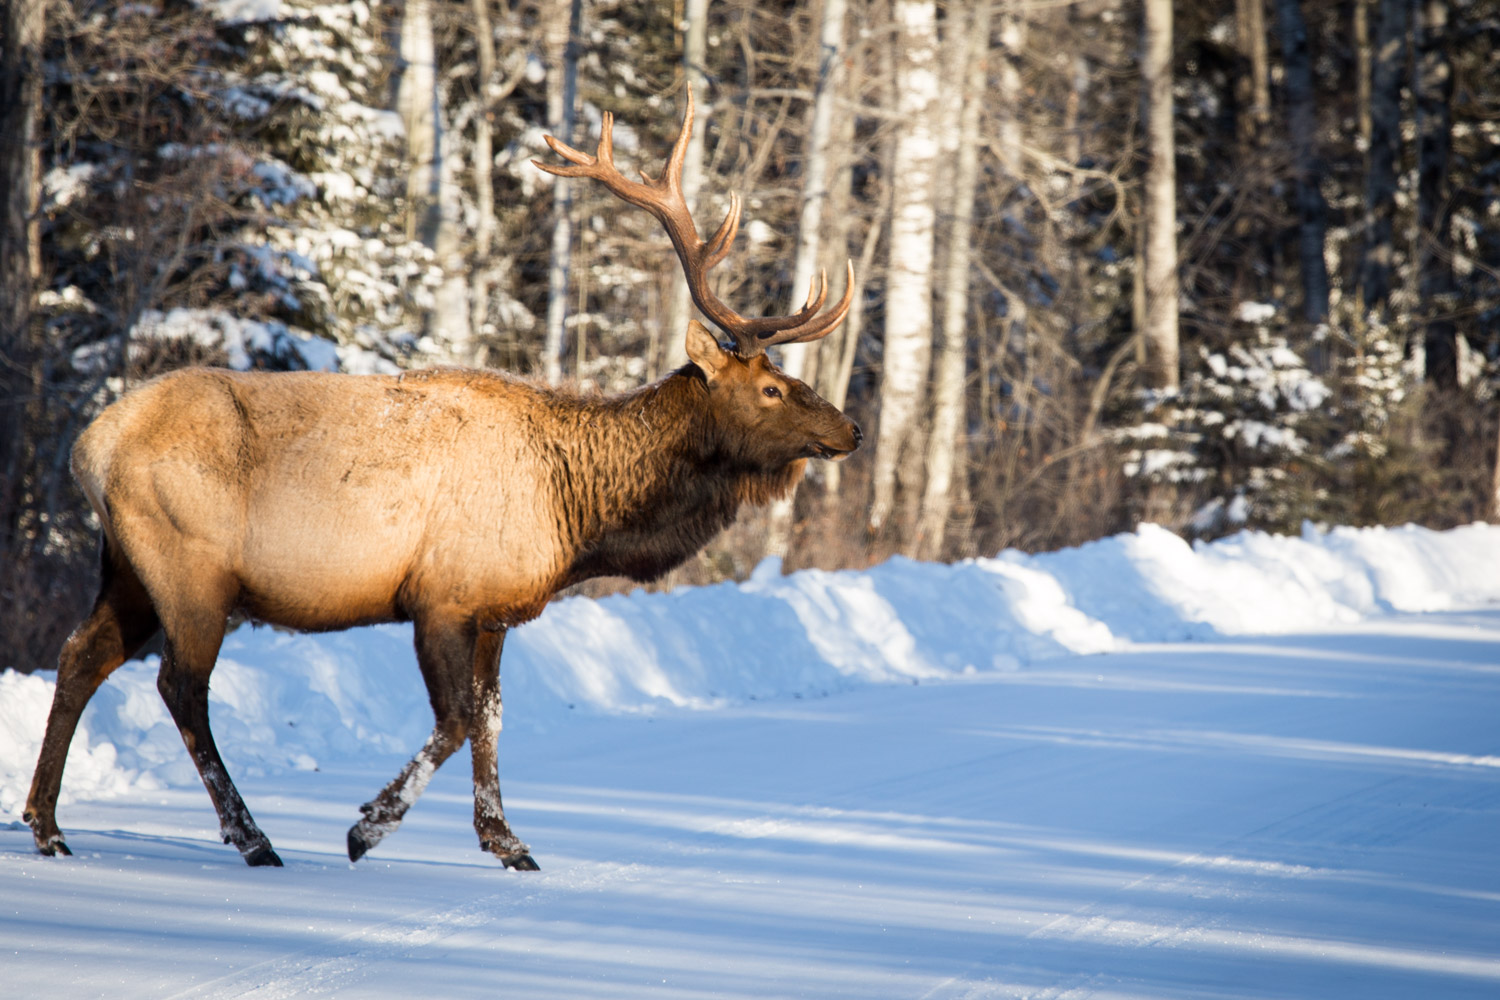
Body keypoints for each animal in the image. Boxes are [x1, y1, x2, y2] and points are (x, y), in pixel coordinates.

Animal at [23, 88, 864, 869]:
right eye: (772, 389)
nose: (851, 429)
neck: (579, 518)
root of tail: (87, 448)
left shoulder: (495, 608)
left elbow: (489, 717)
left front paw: (506, 840)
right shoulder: (441, 597)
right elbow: (455, 719)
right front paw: (368, 825)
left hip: (128, 567)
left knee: (81, 656)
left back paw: (47, 824)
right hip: (191, 571)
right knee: (180, 687)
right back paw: (251, 836)